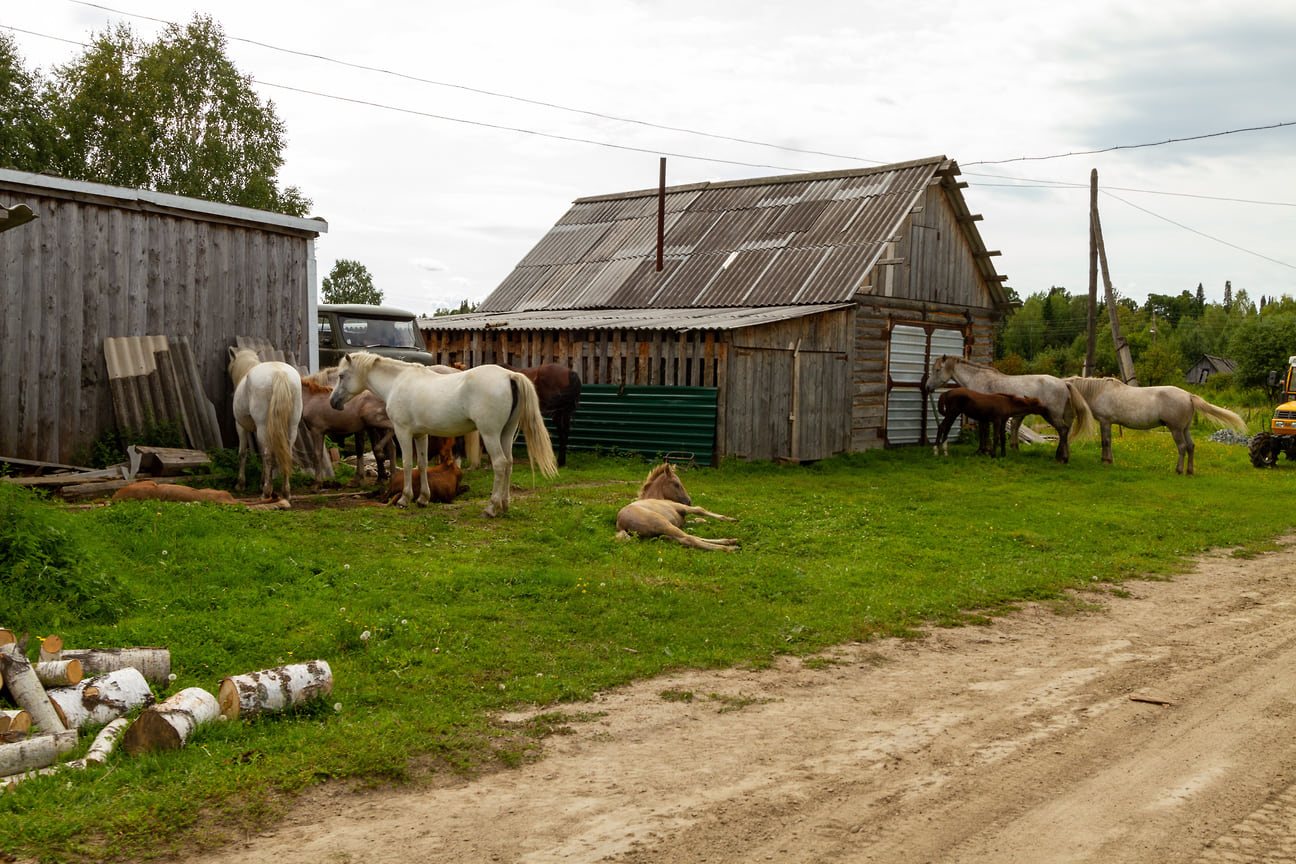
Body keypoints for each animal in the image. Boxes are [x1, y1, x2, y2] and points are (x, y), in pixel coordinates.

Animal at [226, 347, 301, 502]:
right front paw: (261, 483)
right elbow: (260, 452)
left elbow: (243, 453)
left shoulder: (241, 426)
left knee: (268, 455)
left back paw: (266, 492)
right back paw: (286, 492)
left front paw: (240, 484)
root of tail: (279, 373)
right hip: (292, 426)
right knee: (286, 453)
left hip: (262, 426)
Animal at [326, 352, 554, 518]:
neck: (397, 382)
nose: (333, 402)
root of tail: (509, 376)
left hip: (490, 435)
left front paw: (404, 499)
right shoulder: (421, 434)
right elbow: (422, 465)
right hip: (506, 434)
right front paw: (423, 499)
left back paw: (490, 508)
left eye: (341, 376)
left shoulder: (403, 431)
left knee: (500, 464)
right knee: (509, 464)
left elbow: (407, 464)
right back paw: (504, 505)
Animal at [922, 354, 1093, 463]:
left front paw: (985, 451)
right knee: (1065, 432)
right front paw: (984, 450)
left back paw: (1061, 458)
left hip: (1052, 415)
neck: (977, 378)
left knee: (1063, 431)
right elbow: (985, 431)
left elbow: (984, 431)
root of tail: (1064, 383)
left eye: (937, 370)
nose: (927, 387)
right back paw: (1064, 456)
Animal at [1062, 375, 1244, 476]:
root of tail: (1188, 395)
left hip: (1176, 429)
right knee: (1191, 446)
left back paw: (1178, 470)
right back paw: (1190, 471)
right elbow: (1106, 442)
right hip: (1185, 429)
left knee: (1182, 447)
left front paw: (1107, 461)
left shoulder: (1105, 421)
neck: (1098, 391)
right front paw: (1107, 460)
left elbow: (1106, 442)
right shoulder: (1106, 423)